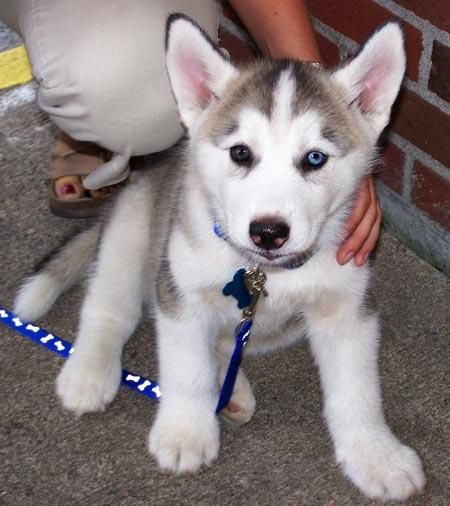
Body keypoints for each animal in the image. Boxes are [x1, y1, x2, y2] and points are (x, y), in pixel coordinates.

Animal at [15, 14, 426, 498]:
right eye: (241, 152)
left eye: (314, 158)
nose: (268, 232)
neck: (263, 272)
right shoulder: (180, 293)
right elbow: (185, 367)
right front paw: (184, 433)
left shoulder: (347, 306)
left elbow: (357, 391)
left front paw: (376, 455)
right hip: (131, 229)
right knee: (110, 309)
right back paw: (89, 372)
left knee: (225, 342)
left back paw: (232, 391)